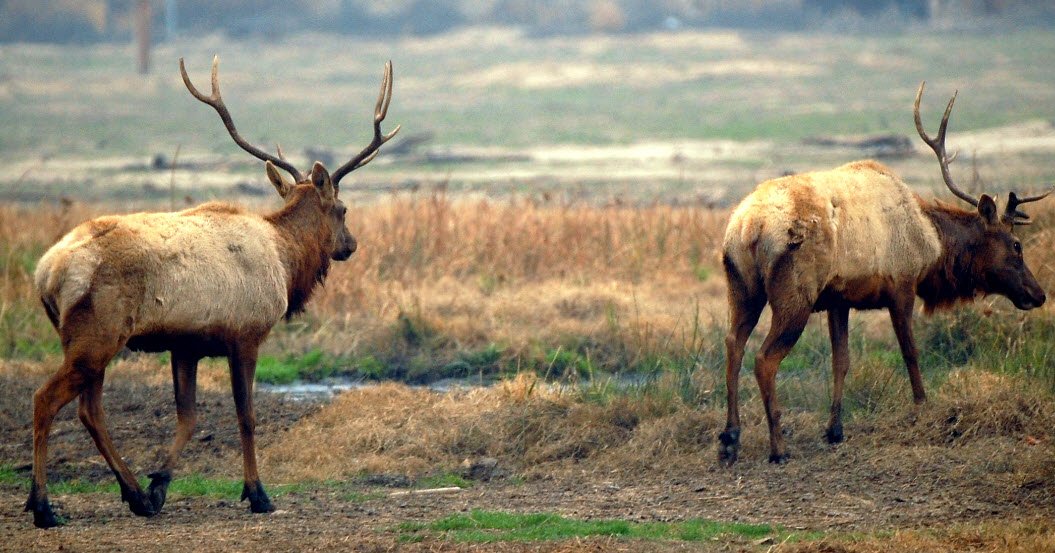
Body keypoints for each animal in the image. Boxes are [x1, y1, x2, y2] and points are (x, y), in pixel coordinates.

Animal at [24, 56, 399, 528]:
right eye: (343, 208)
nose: (350, 245)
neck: (284, 260)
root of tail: (46, 271)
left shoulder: (186, 345)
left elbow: (188, 418)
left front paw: (159, 485)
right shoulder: (246, 335)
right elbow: (246, 415)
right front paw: (258, 494)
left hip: (88, 340)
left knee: (90, 411)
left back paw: (134, 494)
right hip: (97, 335)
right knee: (45, 399)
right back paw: (42, 506)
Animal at [718, 82, 1049, 465]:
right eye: (1016, 245)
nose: (1038, 294)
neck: (933, 246)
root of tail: (748, 226)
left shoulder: (838, 300)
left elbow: (841, 361)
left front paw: (835, 429)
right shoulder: (902, 286)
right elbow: (910, 352)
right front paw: (922, 406)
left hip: (741, 286)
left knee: (733, 344)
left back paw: (729, 439)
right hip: (793, 294)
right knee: (764, 359)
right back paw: (777, 447)